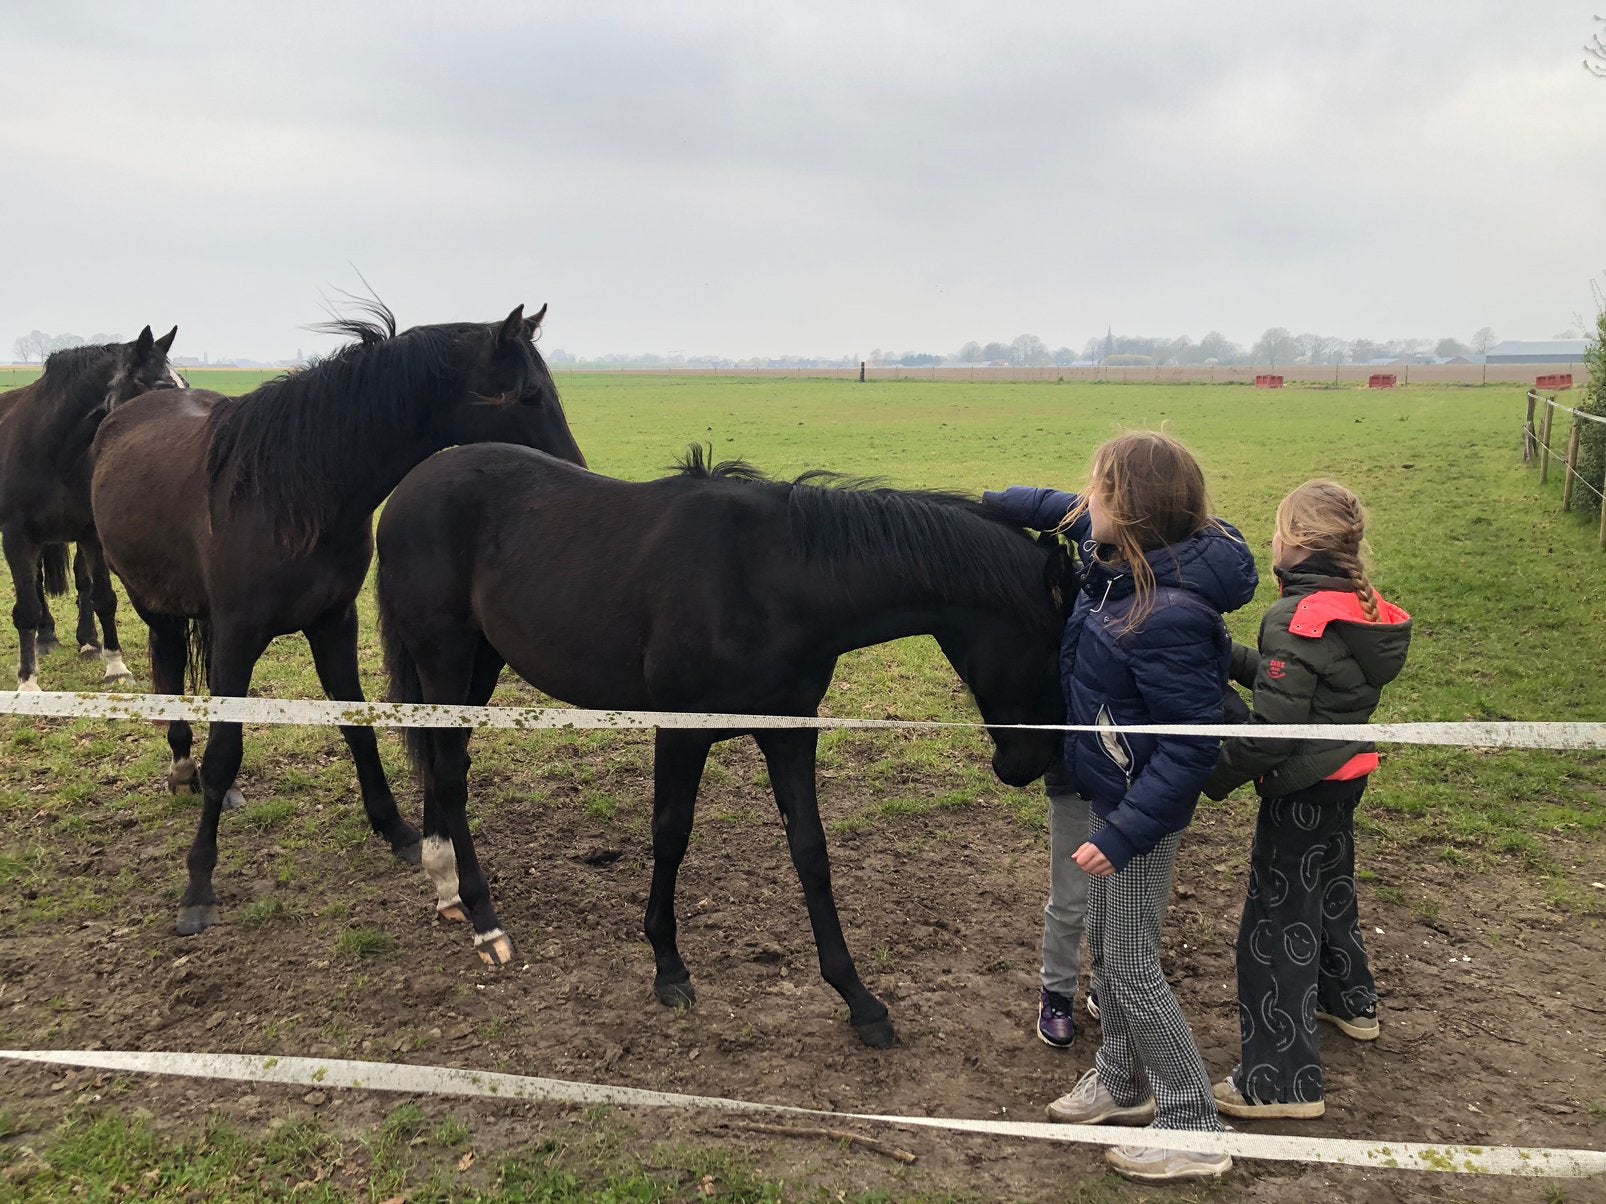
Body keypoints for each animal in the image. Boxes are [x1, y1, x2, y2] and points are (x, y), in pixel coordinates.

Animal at [0, 328, 184, 691]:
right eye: (162, 387)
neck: (54, 452)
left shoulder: (91, 535)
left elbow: (103, 597)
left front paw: (116, 667)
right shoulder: (17, 538)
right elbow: (26, 607)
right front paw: (28, 683)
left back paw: (86, 642)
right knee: (37, 584)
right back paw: (45, 639)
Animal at [90, 301, 585, 938]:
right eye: (526, 395)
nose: (574, 471)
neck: (292, 494)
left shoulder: (333, 623)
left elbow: (357, 726)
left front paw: (398, 830)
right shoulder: (238, 636)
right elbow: (225, 750)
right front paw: (198, 887)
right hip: (153, 602)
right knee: (171, 668)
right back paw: (182, 767)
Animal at [376, 443, 1070, 1048]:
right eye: (1054, 650)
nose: (1032, 765)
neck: (770, 582)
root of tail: (413, 483)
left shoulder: (789, 733)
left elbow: (810, 850)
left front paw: (859, 1001)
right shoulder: (682, 730)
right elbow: (671, 834)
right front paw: (668, 966)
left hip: (481, 663)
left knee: (445, 761)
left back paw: (448, 888)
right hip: (445, 656)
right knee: (449, 771)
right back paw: (484, 918)